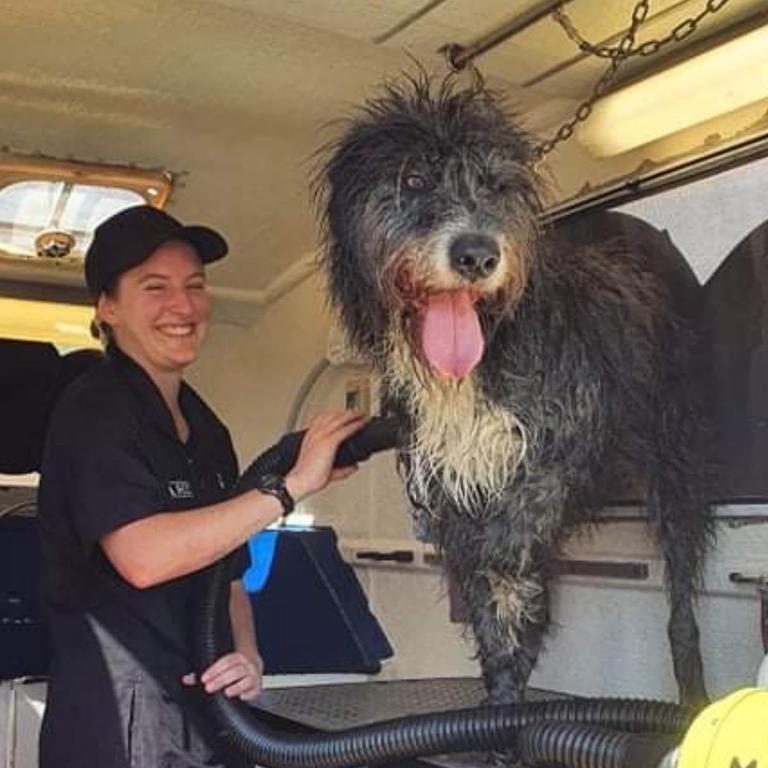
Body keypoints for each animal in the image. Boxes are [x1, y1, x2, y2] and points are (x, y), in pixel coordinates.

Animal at [316, 75, 712, 712]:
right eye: (414, 179)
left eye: (496, 186)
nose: (478, 255)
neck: (477, 364)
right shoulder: (454, 489)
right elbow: (491, 599)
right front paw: (499, 704)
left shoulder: (542, 465)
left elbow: (506, 580)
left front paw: (506, 704)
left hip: (676, 458)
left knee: (679, 594)